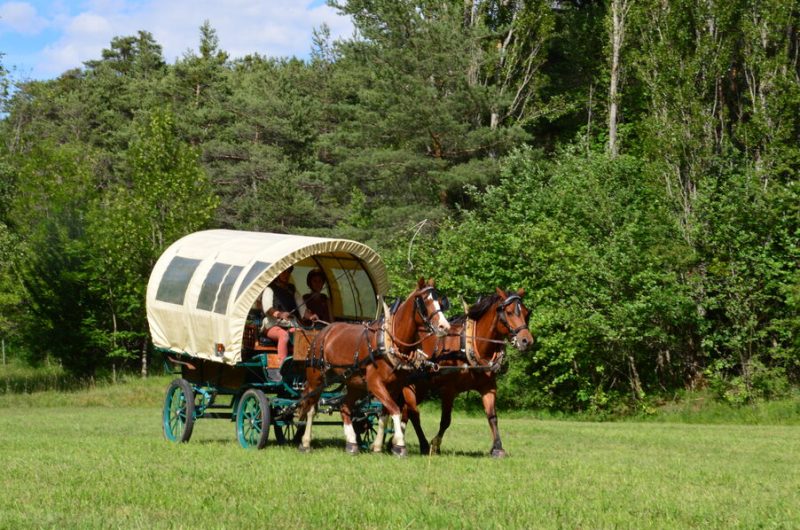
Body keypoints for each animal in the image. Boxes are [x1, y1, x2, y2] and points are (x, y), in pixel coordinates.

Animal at [298, 276, 454, 454]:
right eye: (424, 302)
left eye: (440, 302)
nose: (444, 326)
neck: (389, 342)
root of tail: (323, 331)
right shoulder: (375, 384)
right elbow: (395, 410)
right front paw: (399, 444)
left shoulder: (395, 386)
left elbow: (385, 413)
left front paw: (378, 445)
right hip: (316, 379)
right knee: (310, 407)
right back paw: (305, 442)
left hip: (355, 383)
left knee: (344, 406)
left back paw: (351, 442)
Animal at [398, 286, 532, 456]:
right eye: (509, 312)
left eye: (526, 313)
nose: (527, 341)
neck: (469, 345)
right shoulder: (448, 390)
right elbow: (445, 420)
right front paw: (435, 445)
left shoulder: (488, 387)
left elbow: (492, 416)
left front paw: (498, 447)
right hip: (409, 385)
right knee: (413, 413)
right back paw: (420, 445)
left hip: (421, 387)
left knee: (405, 412)